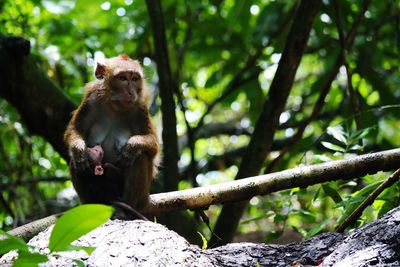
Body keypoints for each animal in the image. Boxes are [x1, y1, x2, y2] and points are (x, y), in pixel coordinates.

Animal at [63, 54, 159, 213]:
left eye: (134, 79)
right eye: (123, 78)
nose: (131, 92)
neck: (114, 107)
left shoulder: (140, 108)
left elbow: (153, 146)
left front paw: (131, 147)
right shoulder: (91, 99)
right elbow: (74, 130)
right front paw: (79, 150)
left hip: (143, 197)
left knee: (140, 157)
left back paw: (126, 208)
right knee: (74, 162)